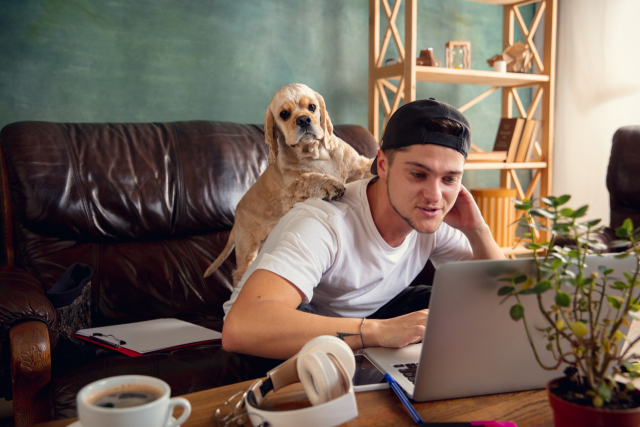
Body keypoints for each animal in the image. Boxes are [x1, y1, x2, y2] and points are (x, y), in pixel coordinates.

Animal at [205, 83, 372, 286]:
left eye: (312, 107)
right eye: (284, 114)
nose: (304, 120)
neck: (316, 153)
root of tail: (236, 220)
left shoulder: (357, 165)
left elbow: (369, 166)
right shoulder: (290, 192)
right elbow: (308, 178)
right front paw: (329, 184)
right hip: (247, 247)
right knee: (240, 273)